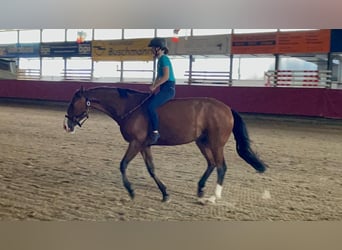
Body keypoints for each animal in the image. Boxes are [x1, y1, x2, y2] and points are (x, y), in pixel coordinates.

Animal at [64, 86, 268, 203]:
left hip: (216, 144)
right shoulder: (144, 145)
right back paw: (200, 189)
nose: (66, 125)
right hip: (202, 142)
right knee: (211, 164)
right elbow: (151, 169)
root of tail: (227, 109)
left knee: (221, 166)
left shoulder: (135, 143)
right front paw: (164, 194)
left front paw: (131, 191)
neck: (129, 107)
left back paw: (213, 196)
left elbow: (123, 165)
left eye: (73, 103)